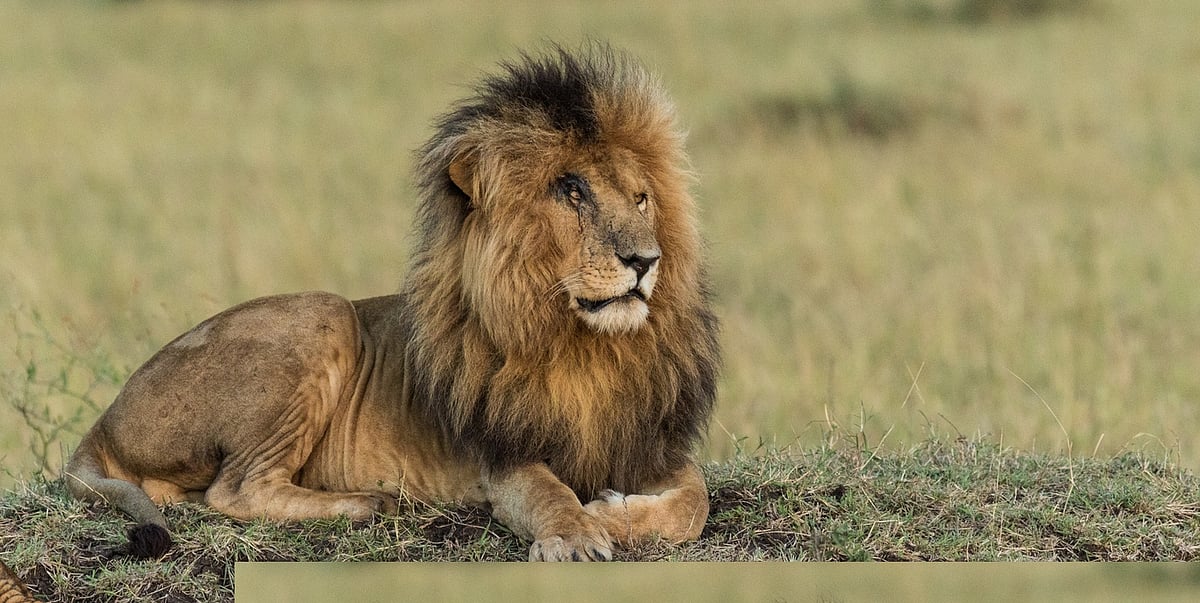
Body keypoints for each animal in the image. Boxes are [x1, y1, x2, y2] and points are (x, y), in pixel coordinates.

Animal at [65, 44, 720, 562]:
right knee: (234, 490)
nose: (646, 260)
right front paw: (576, 534)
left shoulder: (648, 439)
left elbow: (695, 502)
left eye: (641, 198)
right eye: (572, 190)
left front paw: (610, 511)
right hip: (324, 313)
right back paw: (372, 502)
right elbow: (549, 492)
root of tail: (106, 417)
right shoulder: (502, 455)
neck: (586, 346)